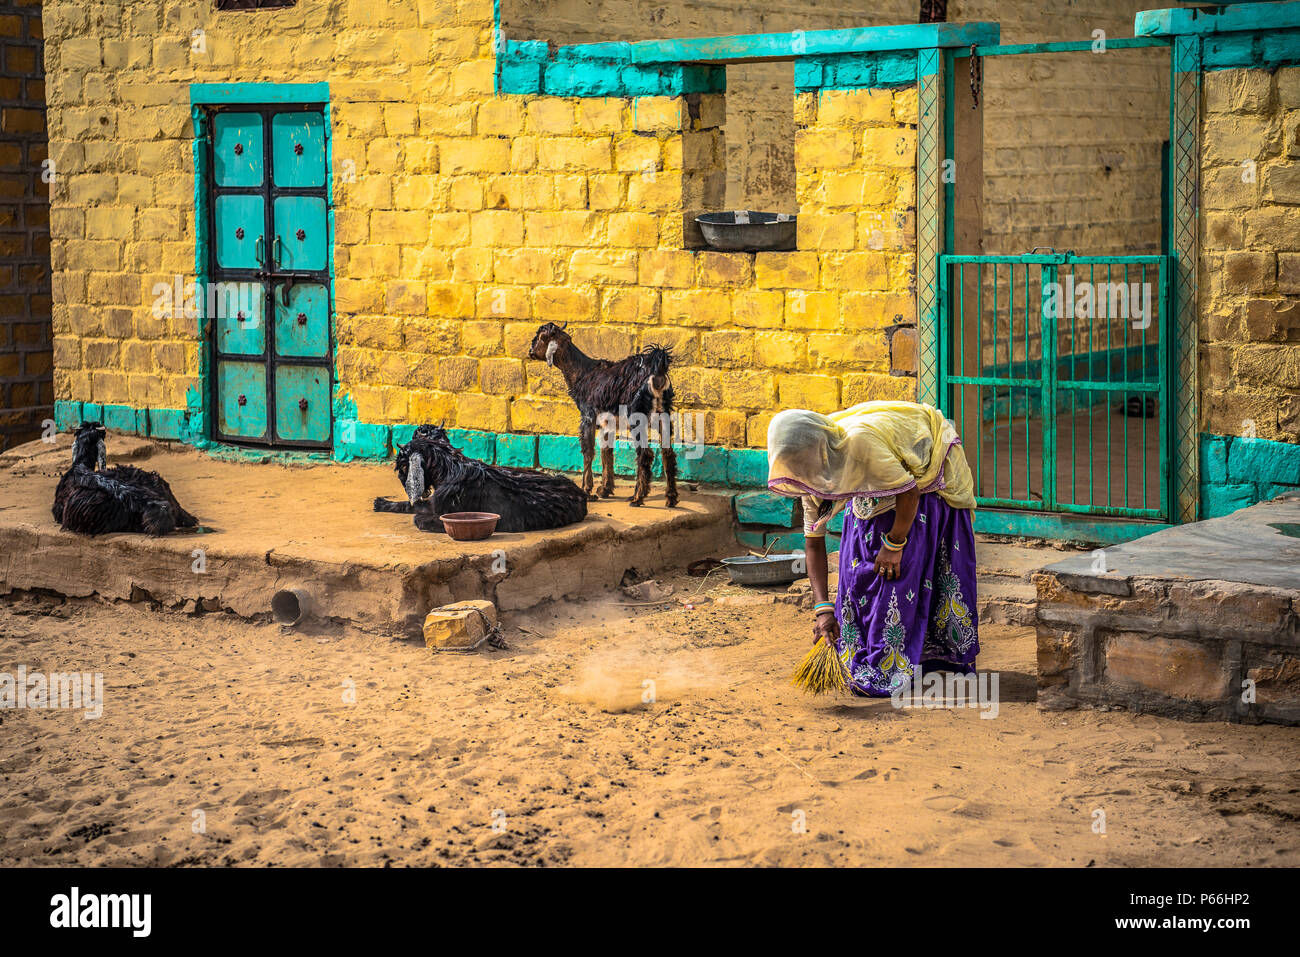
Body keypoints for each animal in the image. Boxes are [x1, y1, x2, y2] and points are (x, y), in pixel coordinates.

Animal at [371, 423, 585, 535]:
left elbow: (415, 513)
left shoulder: (440, 509)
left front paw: (381, 503)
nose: (401, 477)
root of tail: (580, 494)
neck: (449, 465)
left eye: (403, 465)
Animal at [527, 321, 681, 509]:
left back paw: (637, 497)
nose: (530, 351)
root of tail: (657, 370)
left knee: (645, 454)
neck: (582, 372)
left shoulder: (588, 416)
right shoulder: (608, 422)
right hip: (663, 415)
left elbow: (588, 450)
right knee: (668, 453)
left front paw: (587, 490)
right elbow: (606, 450)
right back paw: (671, 498)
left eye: (542, 337)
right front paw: (605, 489)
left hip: (637, 416)